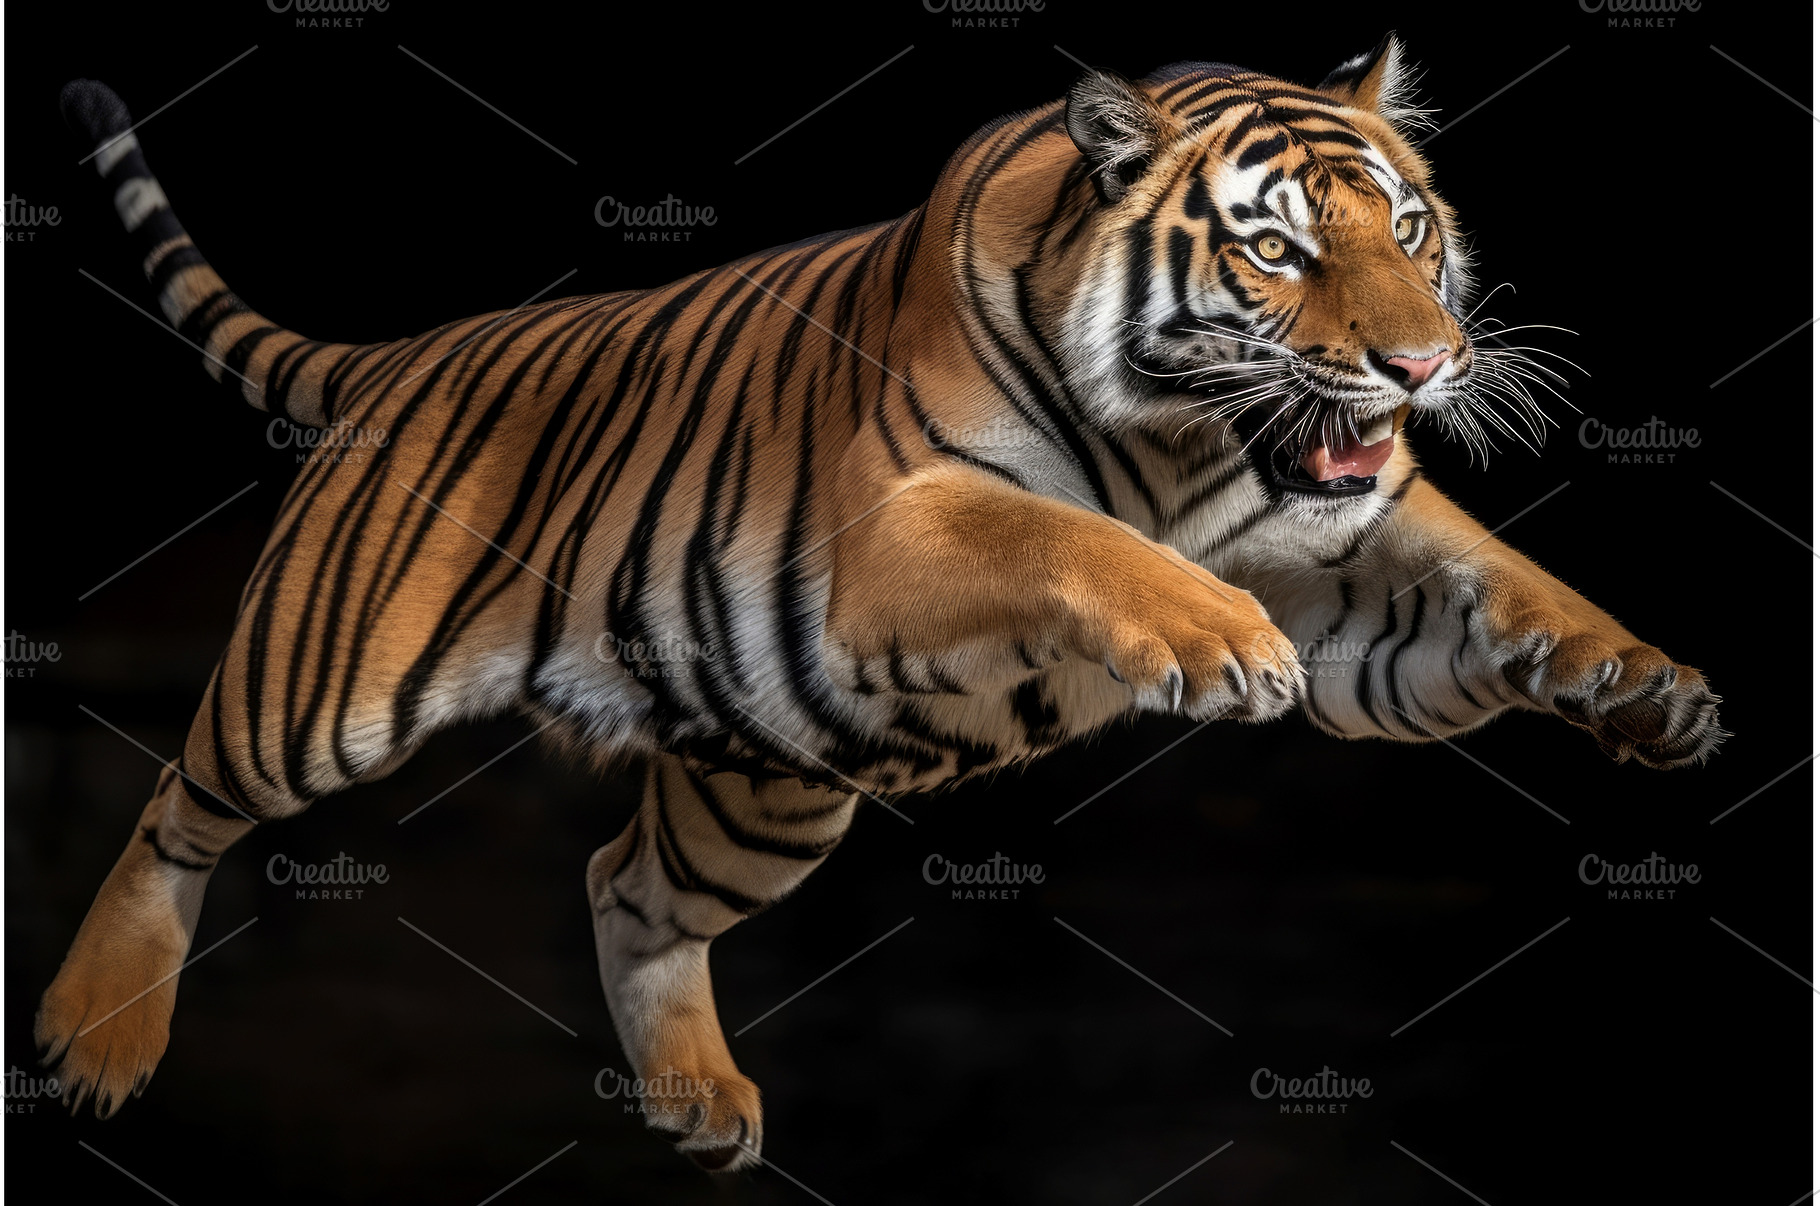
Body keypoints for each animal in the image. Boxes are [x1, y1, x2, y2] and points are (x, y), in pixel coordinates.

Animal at [40, 36, 1722, 1173]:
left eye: (1411, 228)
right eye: (1273, 246)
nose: (1421, 364)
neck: (1190, 450)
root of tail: (405, 355)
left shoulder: (1356, 565)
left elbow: (1498, 573)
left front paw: (1645, 683)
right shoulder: (894, 531)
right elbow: (1072, 540)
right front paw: (1210, 638)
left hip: (766, 792)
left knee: (622, 882)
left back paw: (697, 1105)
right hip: (323, 694)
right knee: (178, 804)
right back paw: (93, 1035)